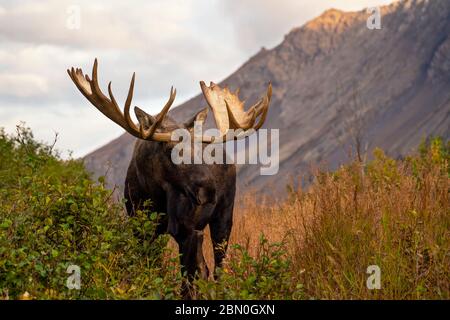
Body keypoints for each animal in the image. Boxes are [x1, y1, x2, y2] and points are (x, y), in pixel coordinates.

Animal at [67, 58, 270, 296]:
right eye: (169, 149)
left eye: (200, 147)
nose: (209, 190)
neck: (155, 194)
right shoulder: (141, 228)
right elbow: (150, 270)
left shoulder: (186, 230)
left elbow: (188, 280)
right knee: (205, 268)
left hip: (223, 215)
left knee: (217, 268)